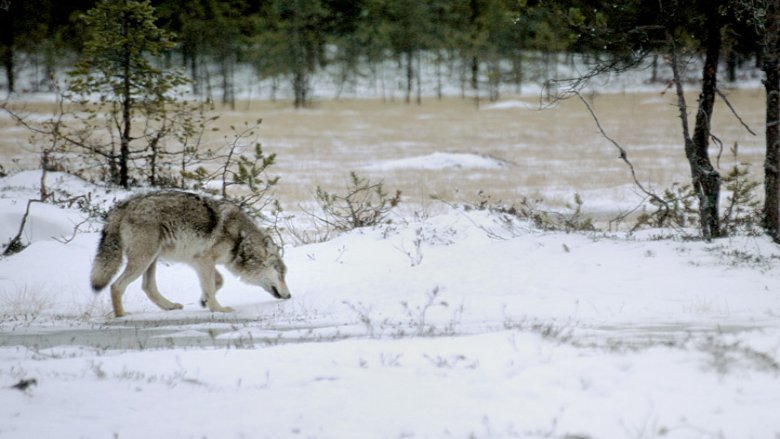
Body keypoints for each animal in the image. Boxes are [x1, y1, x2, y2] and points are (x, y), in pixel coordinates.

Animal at [89, 191, 290, 318]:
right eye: (280, 274)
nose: (289, 296)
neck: (240, 240)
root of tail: (124, 204)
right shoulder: (205, 260)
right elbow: (211, 286)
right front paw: (219, 309)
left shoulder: (198, 261)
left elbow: (217, 282)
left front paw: (204, 302)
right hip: (143, 260)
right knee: (116, 286)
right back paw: (122, 316)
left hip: (151, 259)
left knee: (148, 287)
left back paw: (170, 306)